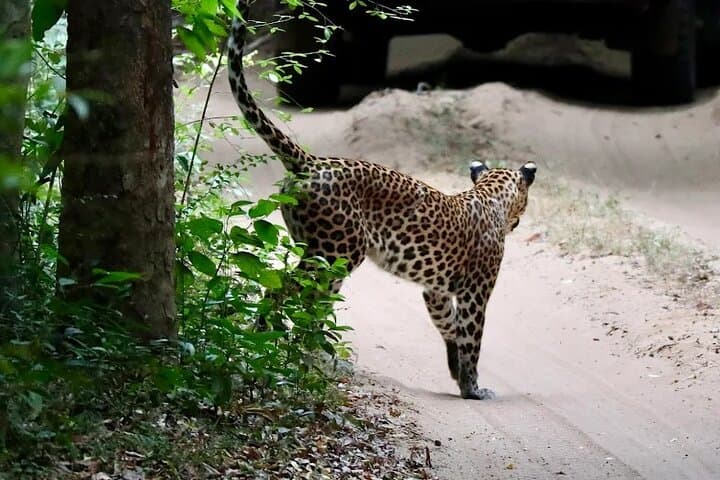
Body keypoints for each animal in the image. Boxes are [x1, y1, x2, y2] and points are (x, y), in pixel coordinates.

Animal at [227, 1, 537, 400]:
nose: (519, 221)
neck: (489, 194)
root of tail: (310, 161)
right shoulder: (474, 292)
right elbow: (472, 337)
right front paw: (473, 387)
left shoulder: (436, 291)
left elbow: (448, 326)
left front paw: (455, 371)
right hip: (337, 254)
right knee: (285, 292)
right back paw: (281, 350)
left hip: (324, 255)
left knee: (303, 302)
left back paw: (296, 354)